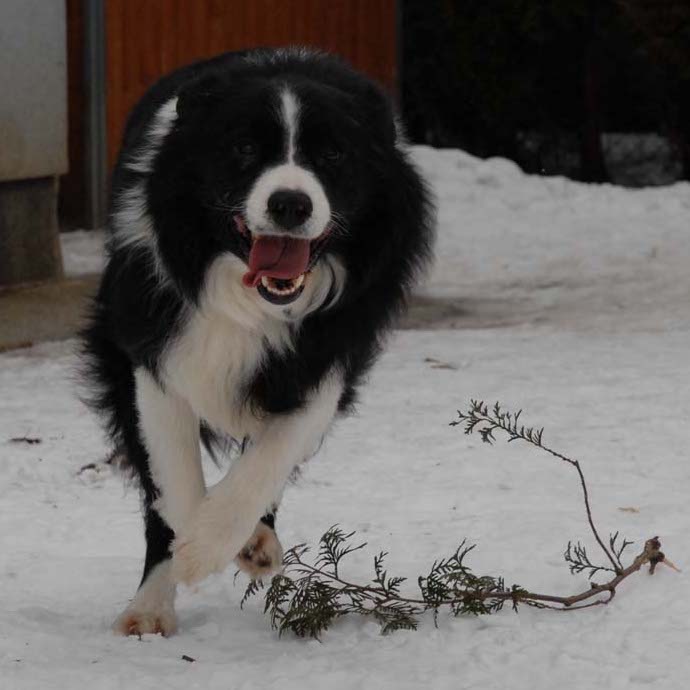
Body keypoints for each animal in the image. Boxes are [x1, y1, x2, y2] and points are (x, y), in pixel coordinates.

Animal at [80, 48, 432, 636]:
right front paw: (188, 553)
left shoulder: (329, 355)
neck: (249, 299)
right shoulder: (151, 336)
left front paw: (223, 541)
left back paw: (256, 543)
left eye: (333, 153)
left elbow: (271, 453)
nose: (290, 204)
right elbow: (170, 467)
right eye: (243, 148)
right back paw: (152, 607)